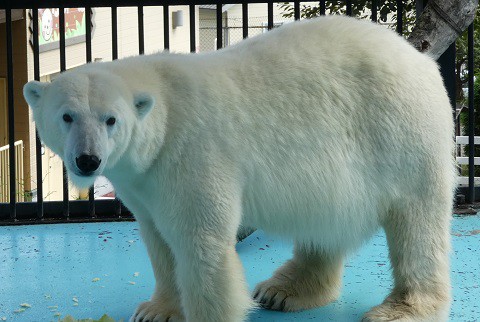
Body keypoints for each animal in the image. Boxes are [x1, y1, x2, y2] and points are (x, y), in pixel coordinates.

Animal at [24, 14, 456, 322]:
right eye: (67, 116)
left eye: (110, 119)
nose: (88, 160)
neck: (163, 115)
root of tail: (420, 58)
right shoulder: (143, 183)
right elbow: (159, 241)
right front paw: (156, 311)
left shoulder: (191, 154)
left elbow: (200, 241)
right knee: (324, 225)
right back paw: (283, 290)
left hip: (401, 134)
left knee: (417, 224)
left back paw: (402, 310)